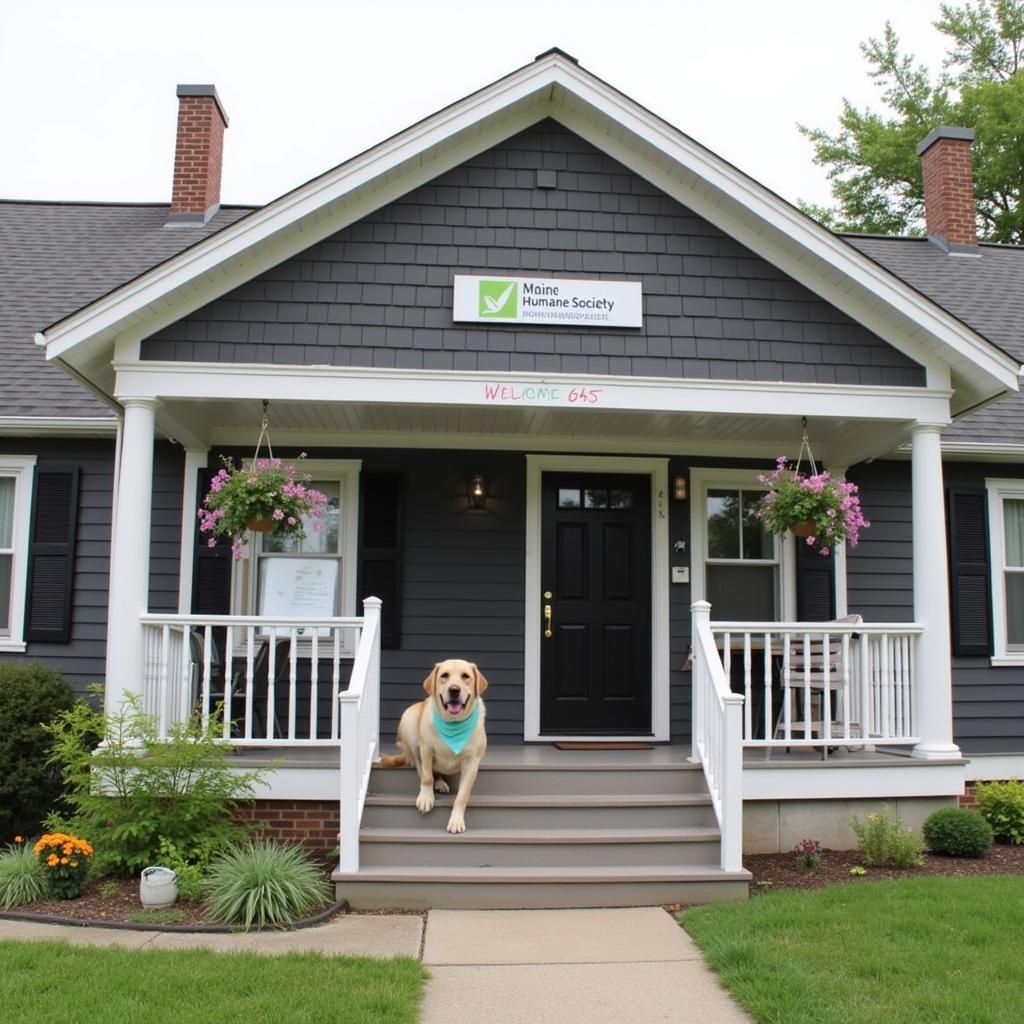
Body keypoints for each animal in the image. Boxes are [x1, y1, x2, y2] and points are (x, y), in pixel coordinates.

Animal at [378, 663, 489, 831]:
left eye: (465, 676)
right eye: (444, 675)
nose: (454, 689)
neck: (453, 724)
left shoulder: (472, 762)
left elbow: (462, 795)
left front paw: (456, 819)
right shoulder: (426, 749)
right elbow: (427, 777)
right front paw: (426, 797)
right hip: (409, 721)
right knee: (421, 769)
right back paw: (436, 784)